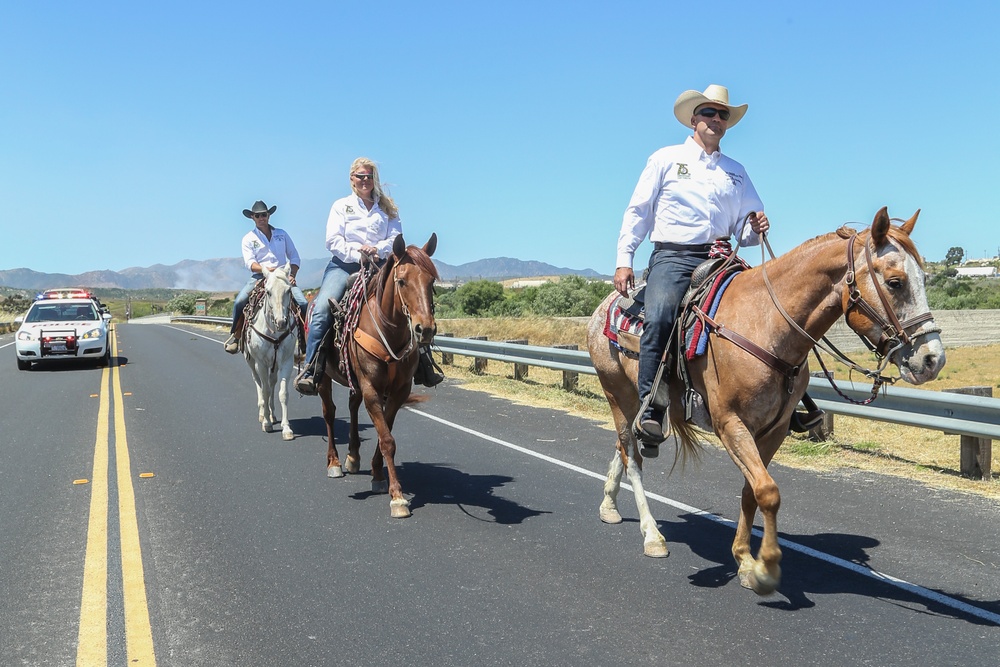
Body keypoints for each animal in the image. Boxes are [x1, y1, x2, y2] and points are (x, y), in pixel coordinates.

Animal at [243, 264, 296, 440]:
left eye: (289, 290)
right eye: (268, 291)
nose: (281, 322)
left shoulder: (286, 362)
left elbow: (283, 393)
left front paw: (286, 428)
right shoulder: (261, 363)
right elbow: (265, 391)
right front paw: (266, 423)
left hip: (274, 366)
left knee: (272, 383)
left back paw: (272, 414)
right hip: (252, 362)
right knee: (259, 383)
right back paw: (263, 414)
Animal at [314, 232, 436, 520]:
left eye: (432, 282)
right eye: (402, 281)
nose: (424, 329)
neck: (389, 330)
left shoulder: (399, 391)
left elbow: (384, 435)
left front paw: (378, 475)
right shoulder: (371, 388)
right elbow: (387, 439)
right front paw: (398, 498)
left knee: (352, 405)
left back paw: (353, 457)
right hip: (324, 378)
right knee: (329, 413)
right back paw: (334, 462)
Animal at [584, 207, 944, 596]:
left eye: (923, 278)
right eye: (895, 282)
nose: (932, 359)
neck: (766, 326)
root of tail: (604, 307)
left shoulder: (774, 429)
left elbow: (752, 491)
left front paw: (744, 560)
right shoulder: (730, 424)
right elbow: (769, 492)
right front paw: (766, 568)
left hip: (633, 403)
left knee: (623, 447)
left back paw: (608, 504)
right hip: (617, 393)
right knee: (632, 456)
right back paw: (652, 535)